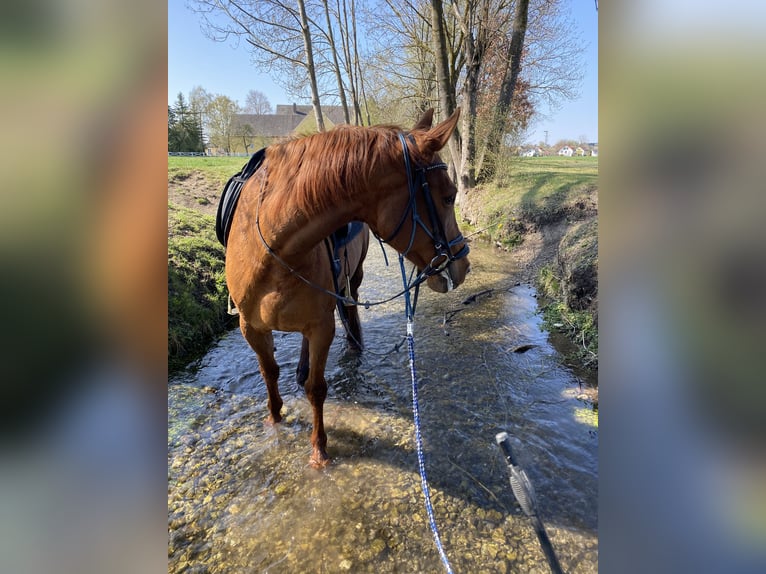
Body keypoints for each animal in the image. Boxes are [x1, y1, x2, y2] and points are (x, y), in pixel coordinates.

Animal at [225, 108, 472, 468]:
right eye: (449, 195)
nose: (463, 265)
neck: (273, 249)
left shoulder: (322, 326)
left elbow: (316, 388)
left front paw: (319, 451)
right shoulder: (251, 328)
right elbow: (269, 373)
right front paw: (274, 420)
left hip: (351, 282)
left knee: (350, 307)